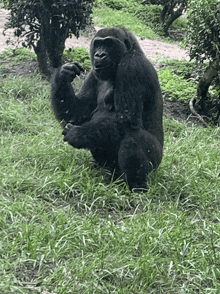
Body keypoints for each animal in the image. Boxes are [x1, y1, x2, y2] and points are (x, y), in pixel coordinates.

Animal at [50, 26, 163, 192]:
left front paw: (77, 134)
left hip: (156, 162)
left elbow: (126, 120)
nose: (99, 55)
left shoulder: (132, 66)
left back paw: (137, 187)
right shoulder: (93, 73)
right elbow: (77, 112)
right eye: (97, 44)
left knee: (132, 138)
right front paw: (63, 74)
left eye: (109, 44)